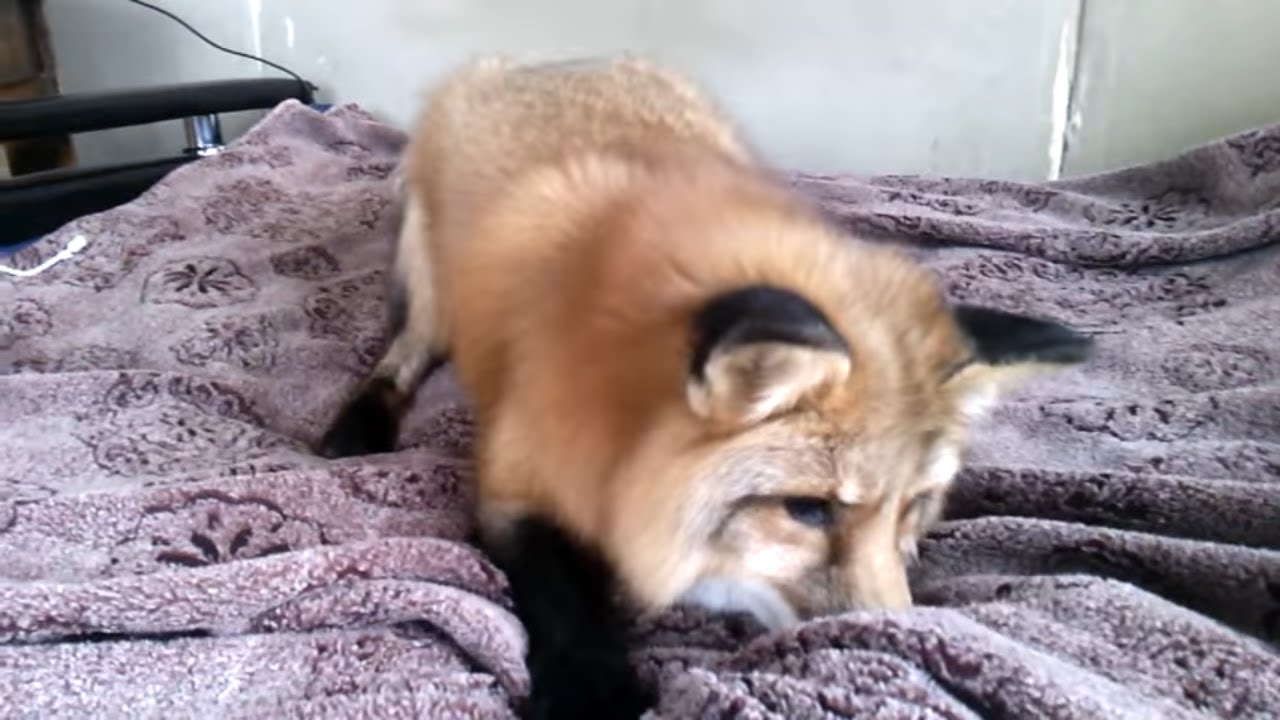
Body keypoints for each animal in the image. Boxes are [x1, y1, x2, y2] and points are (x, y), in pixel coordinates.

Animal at [317, 56, 1093, 720]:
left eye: (915, 507)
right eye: (808, 510)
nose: (890, 637)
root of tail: (545, 65)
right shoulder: (512, 485)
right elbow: (563, 599)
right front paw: (591, 689)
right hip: (431, 290)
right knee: (402, 356)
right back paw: (357, 426)